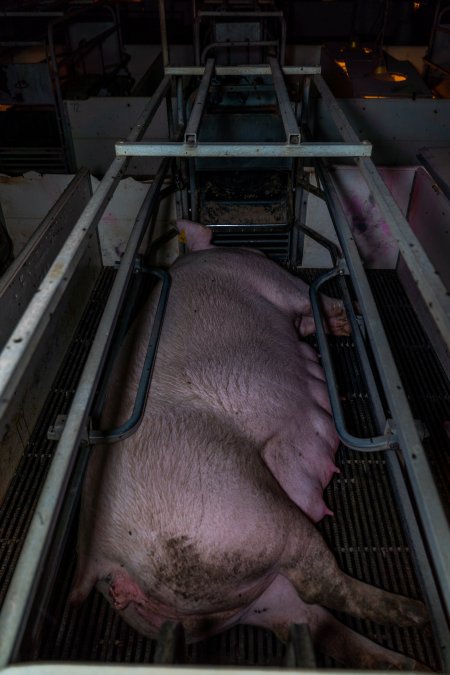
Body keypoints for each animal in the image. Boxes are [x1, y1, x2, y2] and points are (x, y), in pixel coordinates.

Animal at [72, 220, 430, 672]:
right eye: (257, 253)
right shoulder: (271, 278)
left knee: (317, 625)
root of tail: (101, 559)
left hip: (255, 598)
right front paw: (345, 316)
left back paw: (414, 661)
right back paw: (418, 612)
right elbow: (312, 298)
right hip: (244, 521)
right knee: (322, 584)